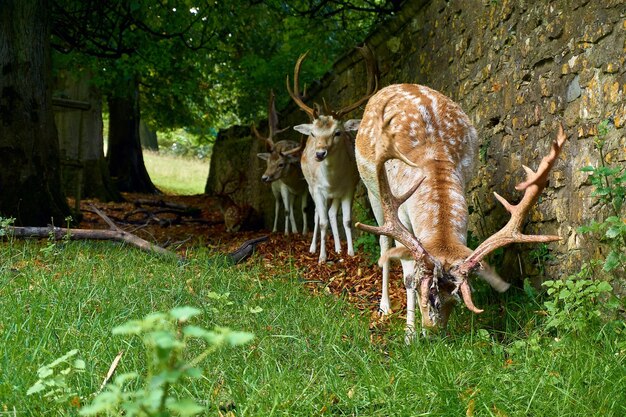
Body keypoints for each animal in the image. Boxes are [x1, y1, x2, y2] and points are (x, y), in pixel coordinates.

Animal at [254, 90, 310, 234]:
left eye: (281, 164)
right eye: (268, 163)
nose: (264, 177)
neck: (296, 182)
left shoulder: (305, 187)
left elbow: (304, 209)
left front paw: (304, 232)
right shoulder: (284, 186)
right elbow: (286, 210)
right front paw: (286, 233)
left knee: (290, 206)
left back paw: (295, 230)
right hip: (275, 189)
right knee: (279, 206)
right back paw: (276, 229)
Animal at [286, 44, 378, 264]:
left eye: (338, 132)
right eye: (313, 133)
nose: (319, 154)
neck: (332, 181)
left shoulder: (349, 188)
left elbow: (347, 220)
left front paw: (350, 253)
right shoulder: (317, 189)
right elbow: (322, 222)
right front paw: (321, 257)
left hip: (334, 196)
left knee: (331, 213)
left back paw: (337, 248)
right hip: (310, 187)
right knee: (318, 215)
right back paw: (313, 248)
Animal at [352, 83, 564, 340]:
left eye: (455, 299)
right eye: (425, 294)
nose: (433, 333)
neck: (435, 159)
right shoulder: (400, 212)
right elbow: (407, 274)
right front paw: (409, 335)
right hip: (373, 192)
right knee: (384, 242)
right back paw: (384, 306)